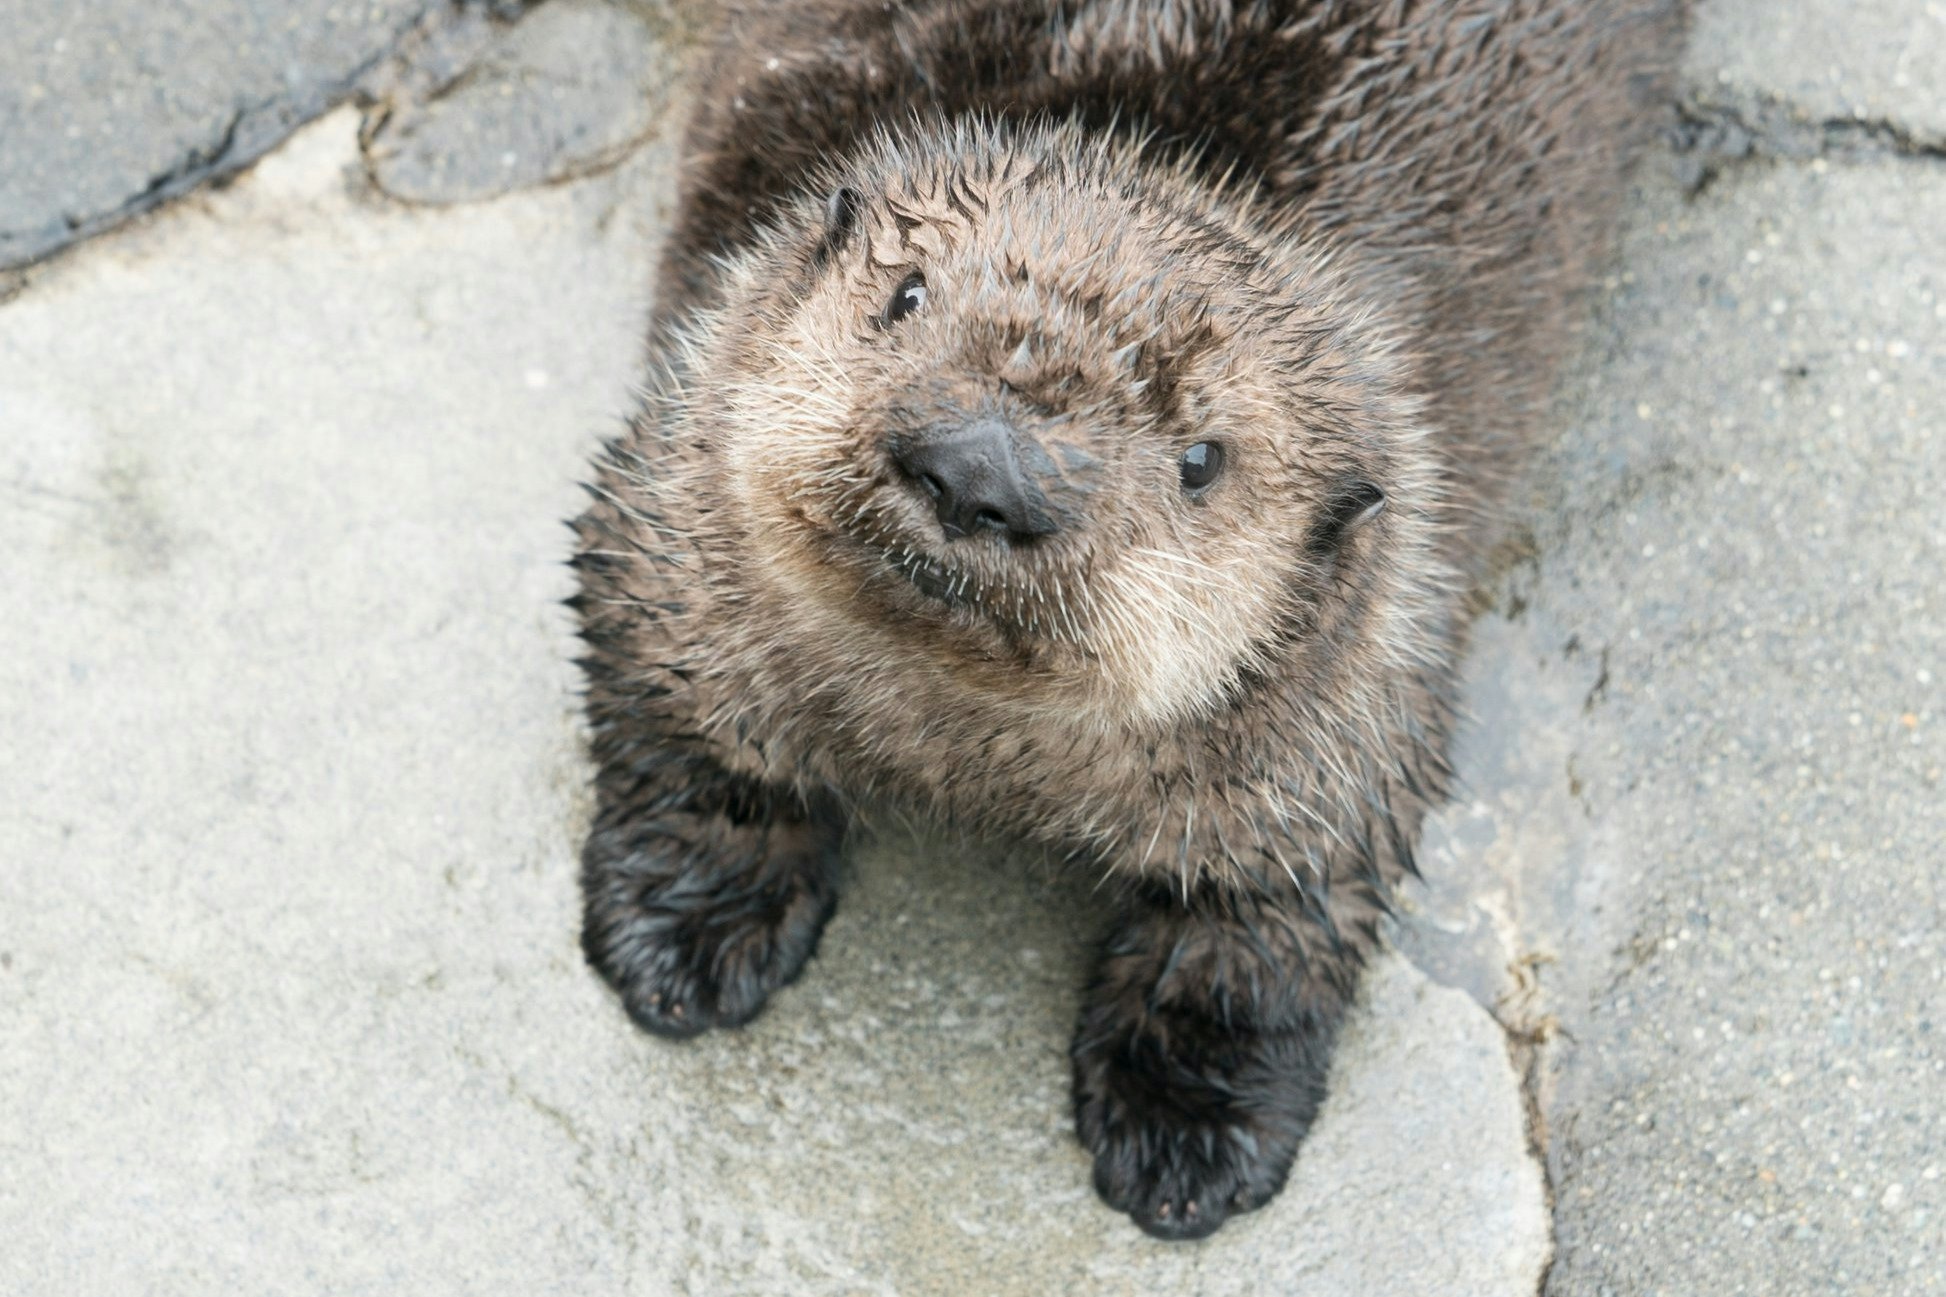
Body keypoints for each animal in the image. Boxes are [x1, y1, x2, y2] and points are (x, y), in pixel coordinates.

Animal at [568, 0, 1681, 1230]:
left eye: (1201, 457)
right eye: (905, 295)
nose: (980, 467)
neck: (957, 743)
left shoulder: (1345, 711)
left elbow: (1267, 924)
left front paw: (1186, 1130)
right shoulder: (674, 542)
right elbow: (697, 746)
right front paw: (683, 931)